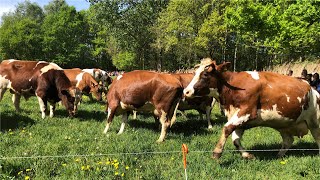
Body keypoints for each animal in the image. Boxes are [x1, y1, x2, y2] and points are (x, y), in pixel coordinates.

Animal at [184, 58, 320, 159]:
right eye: (195, 73)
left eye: (205, 74)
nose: (186, 91)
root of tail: (313, 90)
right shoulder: (239, 118)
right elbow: (235, 139)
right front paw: (247, 155)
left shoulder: (246, 112)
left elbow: (226, 128)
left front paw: (217, 152)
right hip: (284, 125)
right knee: (288, 140)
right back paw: (278, 155)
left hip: (314, 123)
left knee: (317, 138)